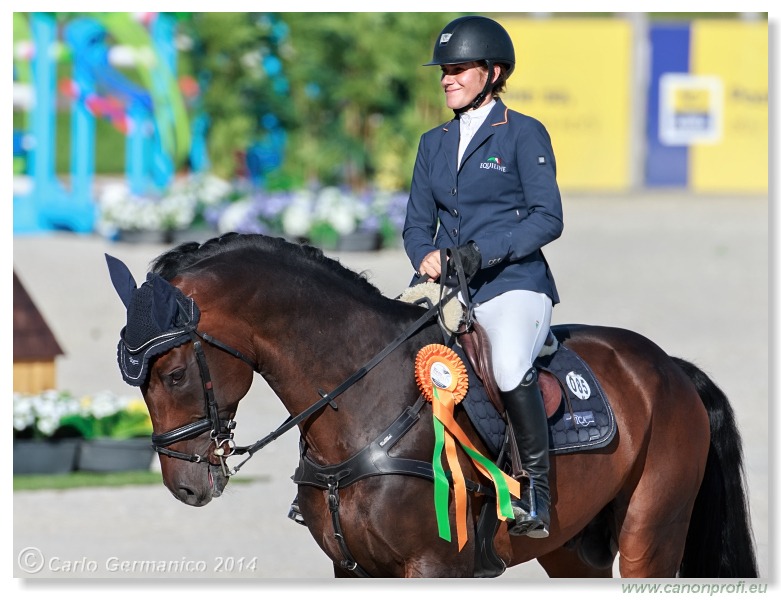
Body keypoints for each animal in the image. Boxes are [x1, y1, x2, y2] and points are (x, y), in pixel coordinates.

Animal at [105, 231, 756, 576]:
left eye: (176, 374)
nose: (187, 486)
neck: (361, 411)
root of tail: (670, 367)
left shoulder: (431, 565)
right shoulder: (351, 567)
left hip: (652, 532)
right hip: (571, 548)